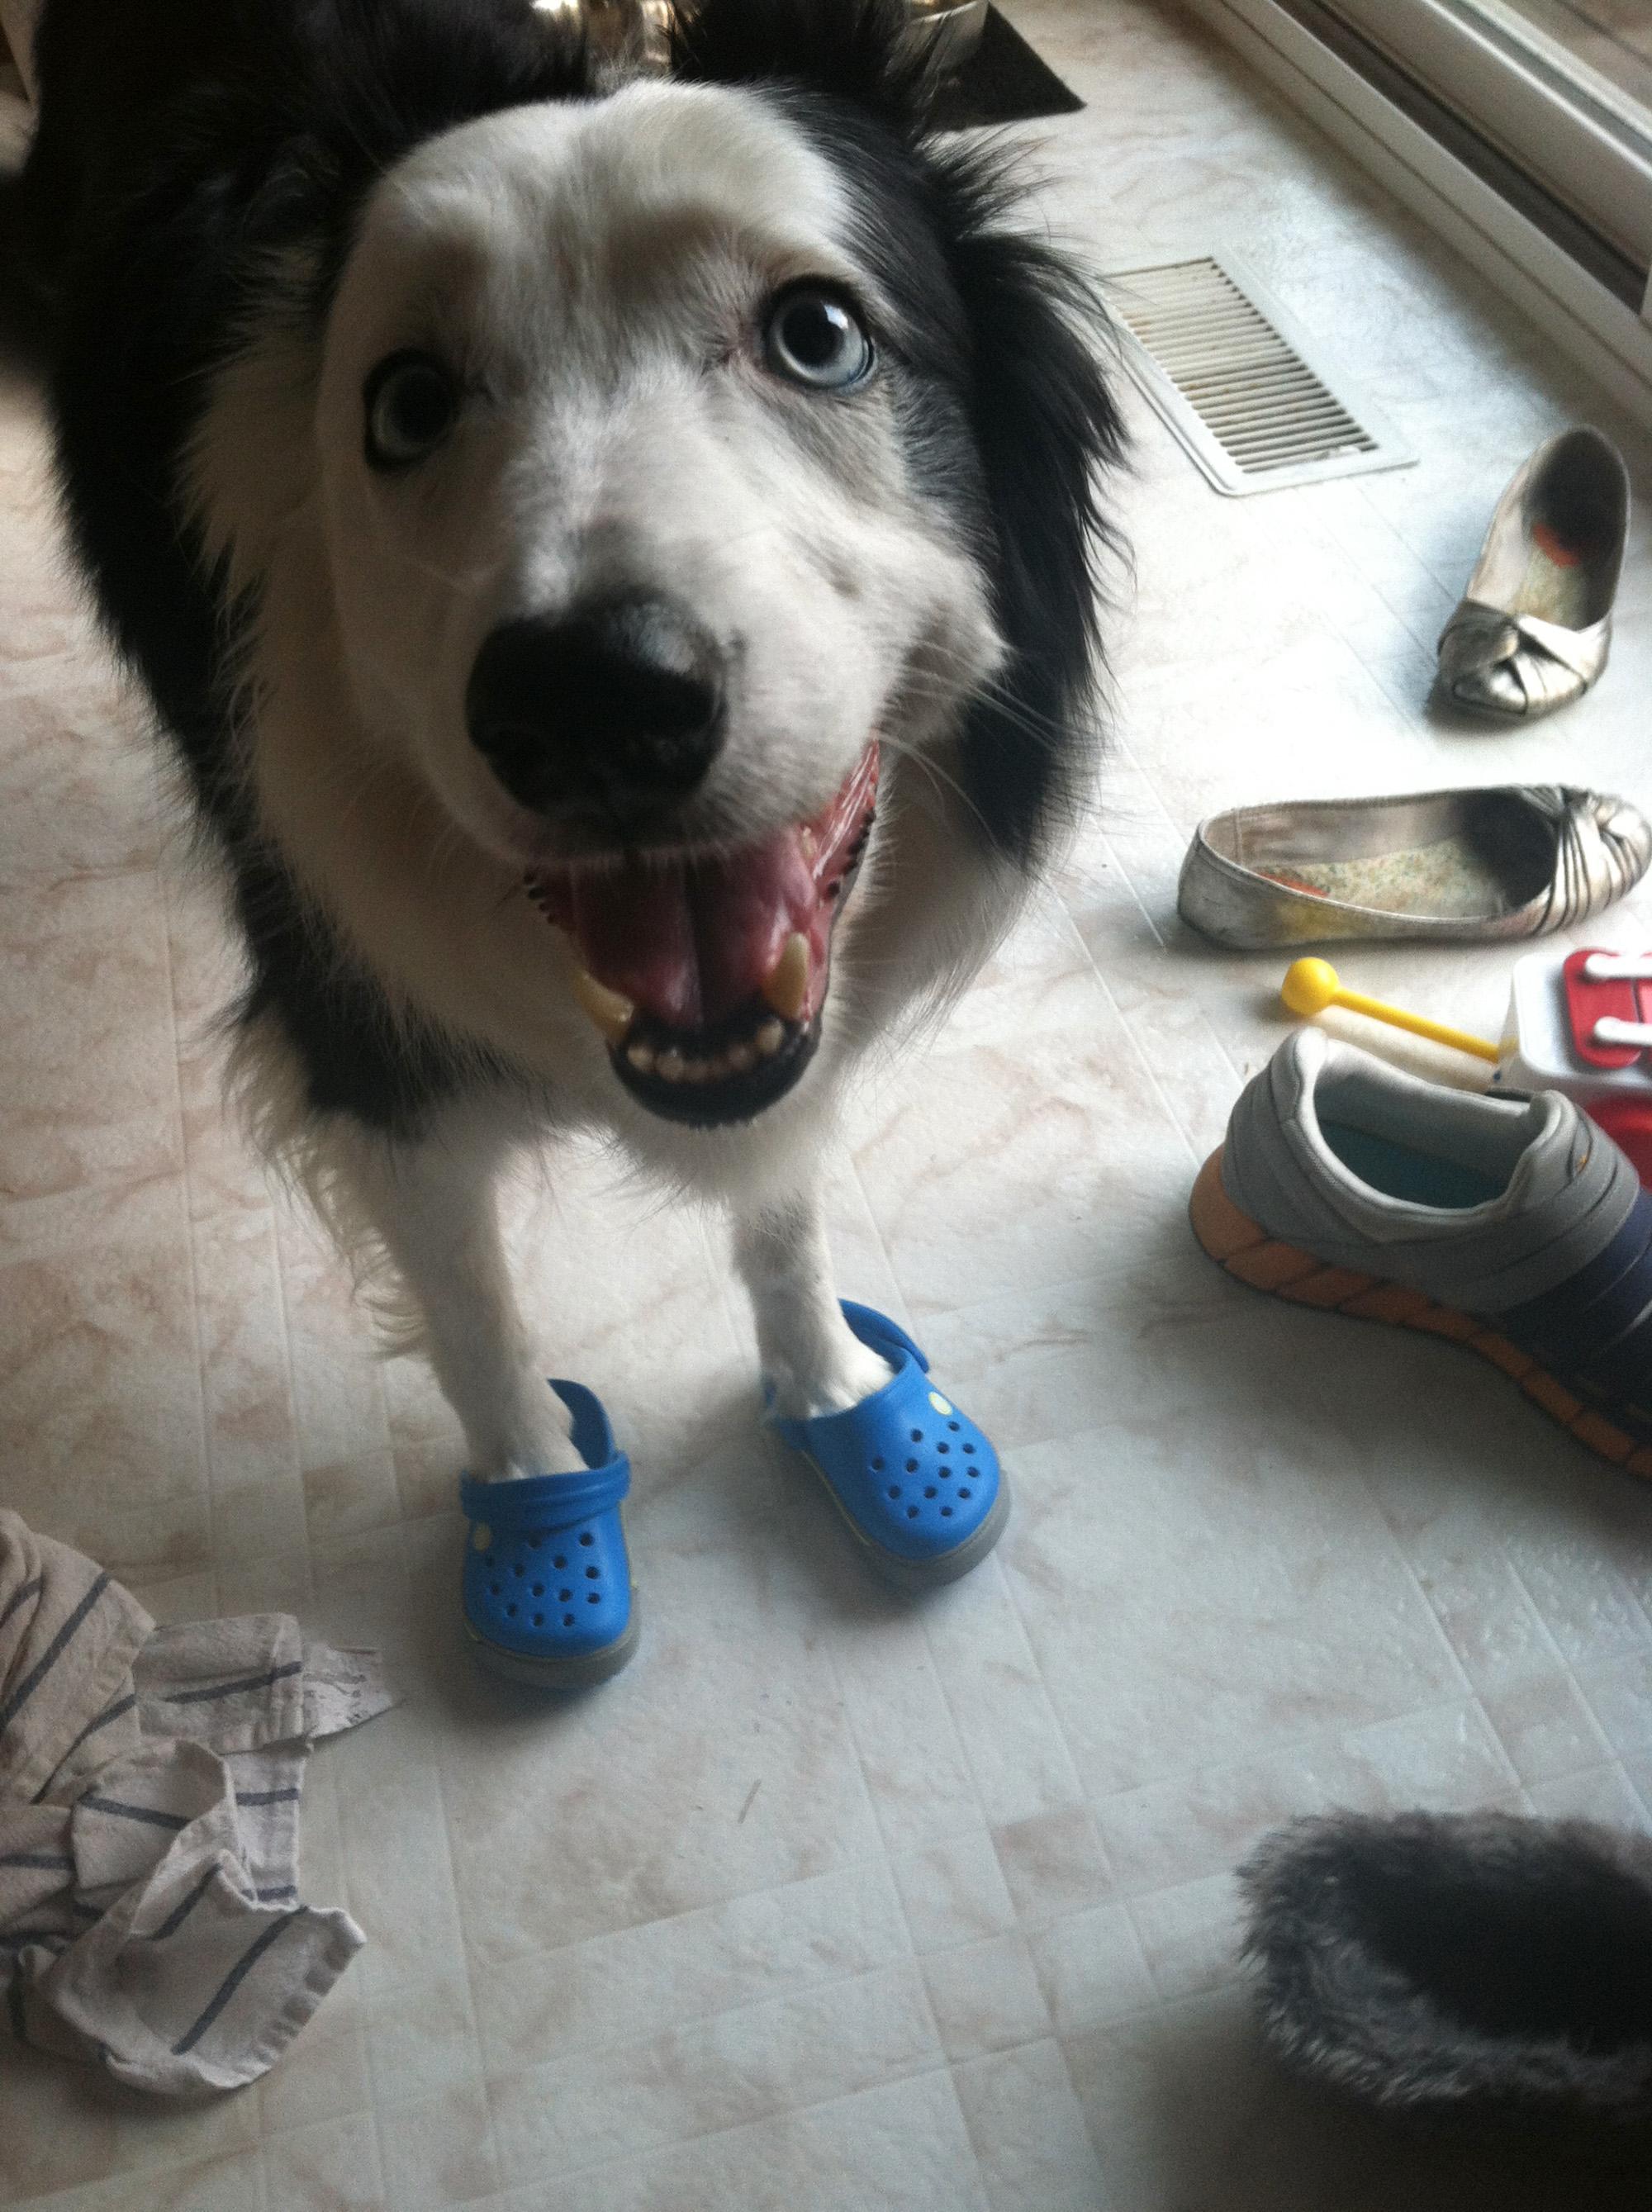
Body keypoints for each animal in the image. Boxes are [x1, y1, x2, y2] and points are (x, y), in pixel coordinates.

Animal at [12, 0, 1118, 1645]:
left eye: (820, 334)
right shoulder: (362, 1036)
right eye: (404, 404)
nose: (595, 703)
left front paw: (838, 1390)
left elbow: (784, 1200)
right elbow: (473, 1308)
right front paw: (537, 1498)